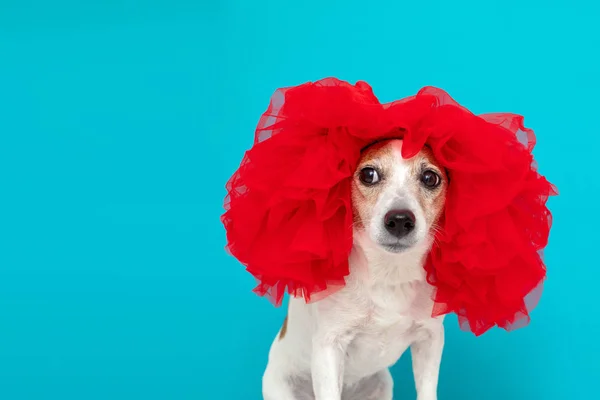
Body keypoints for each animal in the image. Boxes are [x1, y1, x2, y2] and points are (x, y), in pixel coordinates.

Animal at [264, 140, 450, 400]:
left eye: (430, 178)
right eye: (368, 175)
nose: (400, 219)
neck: (389, 271)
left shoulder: (430, 339)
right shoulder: (329, 346)